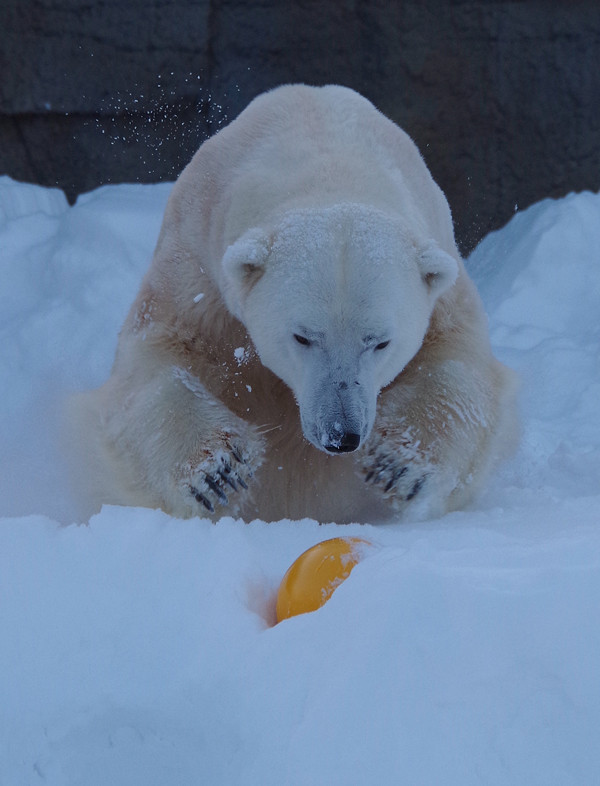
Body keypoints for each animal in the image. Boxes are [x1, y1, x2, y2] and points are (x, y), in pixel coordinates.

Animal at [70, 84, 516, 520]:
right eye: (303, 337)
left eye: (380, 342)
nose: (341, 435)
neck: (324, 157)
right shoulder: (197, 267)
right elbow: (155, 357)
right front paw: (219, 472)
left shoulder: (441, 273)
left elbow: (460, 360)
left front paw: (397, 466)